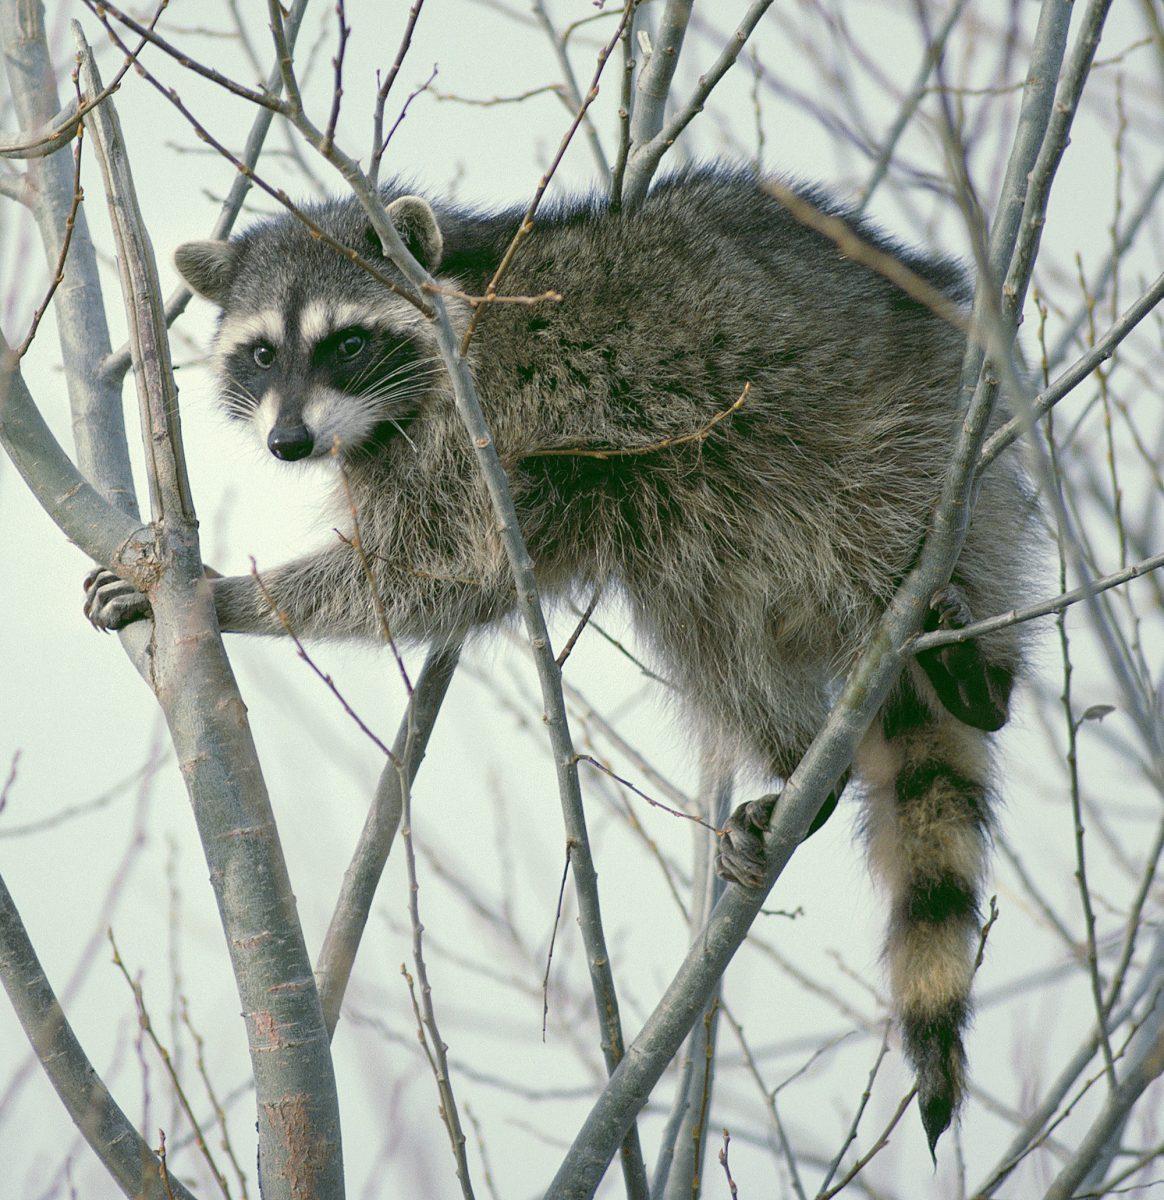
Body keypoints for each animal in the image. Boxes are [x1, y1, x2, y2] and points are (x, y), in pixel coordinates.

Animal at [85, 166, 1037, 1152]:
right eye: (263, 353)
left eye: (346, 342)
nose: (289, 443)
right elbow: (453, 582)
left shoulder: (481, 422)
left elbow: (431, 566)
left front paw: (231, 594)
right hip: (695, 510)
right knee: (700, 616)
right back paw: (799, 757)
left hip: (899, 435)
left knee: (868, 528)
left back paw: (977, 669)